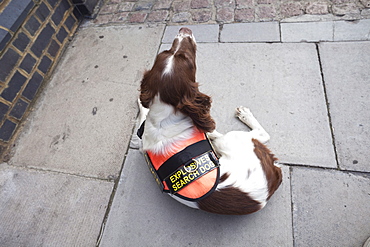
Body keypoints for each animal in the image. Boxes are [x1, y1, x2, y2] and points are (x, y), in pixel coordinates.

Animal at [137, 28, 282, 215]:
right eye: (189, 60)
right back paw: (244, 115)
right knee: (261, 134)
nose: (184, 30)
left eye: (167, 51)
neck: (164, 116)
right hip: (232, 139)